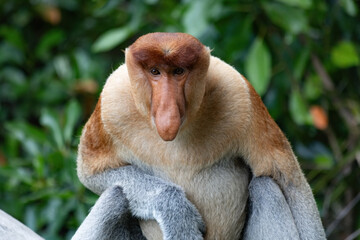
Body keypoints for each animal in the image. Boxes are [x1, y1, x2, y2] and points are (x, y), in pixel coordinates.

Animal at [73, 32, 326, 240]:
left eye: (179, 72)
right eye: (155, 71)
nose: (167, 112)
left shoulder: (239, 92)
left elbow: (289, 181)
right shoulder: (112, 101)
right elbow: (92, 172)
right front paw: (176, 213)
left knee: (267, 188)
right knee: (116, 195)